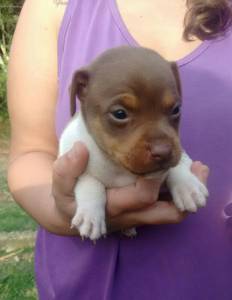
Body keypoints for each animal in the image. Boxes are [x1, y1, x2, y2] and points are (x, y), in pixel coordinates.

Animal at [58, 45, 208, 240]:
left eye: (176, 109)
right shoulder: (72, 155)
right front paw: (91, 216)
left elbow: (179, 165)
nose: (164, 151)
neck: (119, 167)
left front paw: (188, 187)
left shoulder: (179, 151)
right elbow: (90, 182)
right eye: (120, 114)